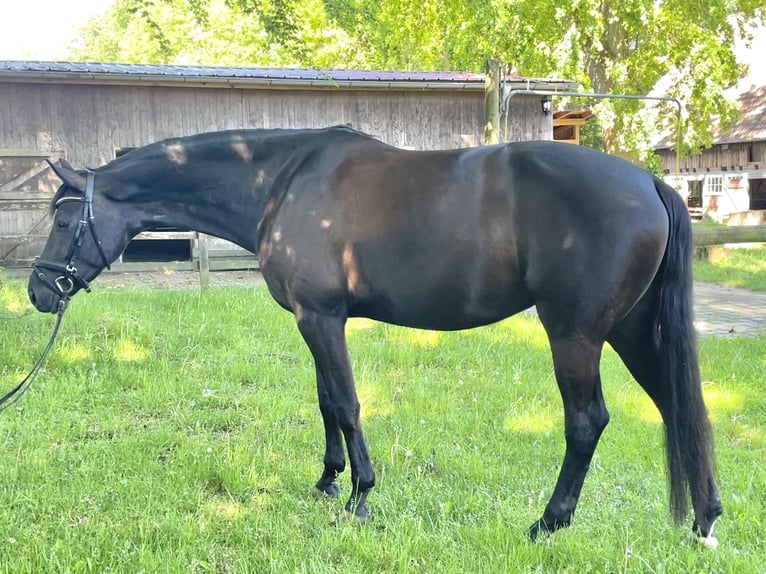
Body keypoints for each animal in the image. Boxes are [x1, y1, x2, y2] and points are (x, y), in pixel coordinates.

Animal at [27, 126, 722, 544]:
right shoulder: (313, 319)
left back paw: (548, 523)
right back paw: (704, 520)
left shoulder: (321, 317)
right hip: (630, 330)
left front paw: (359, 496)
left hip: (574, 335)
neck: (282, 183)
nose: (37, 292)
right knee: (678, 408)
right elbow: (326, 402)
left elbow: (347, 402)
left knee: (587, 422)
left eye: (63, 219)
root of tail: (648, 182)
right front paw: (327, 482)